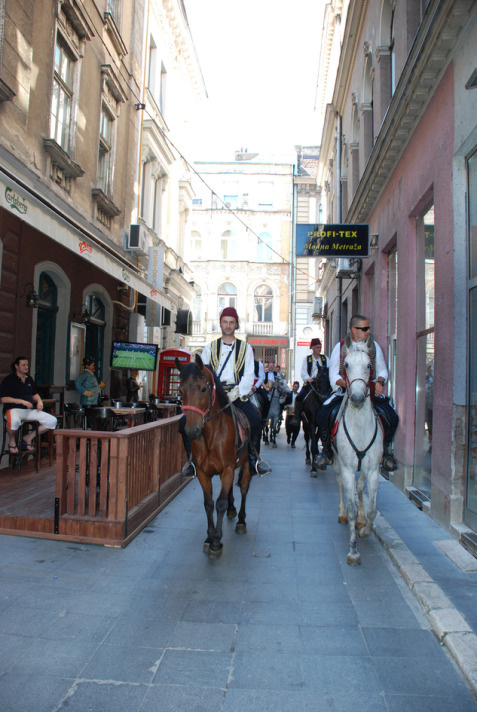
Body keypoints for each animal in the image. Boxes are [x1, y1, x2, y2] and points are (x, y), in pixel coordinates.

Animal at [176, 354, 253, 560]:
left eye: (203, 388)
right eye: (180, 390)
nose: (192, 430)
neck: (211, 434)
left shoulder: (227, 469)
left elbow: (220, 503)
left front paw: (217, 542)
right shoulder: (203, 473)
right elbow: (209, 503)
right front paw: (209, 537)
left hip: (246, 464)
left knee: (244, 488)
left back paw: (241, 520)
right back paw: (232, 510)